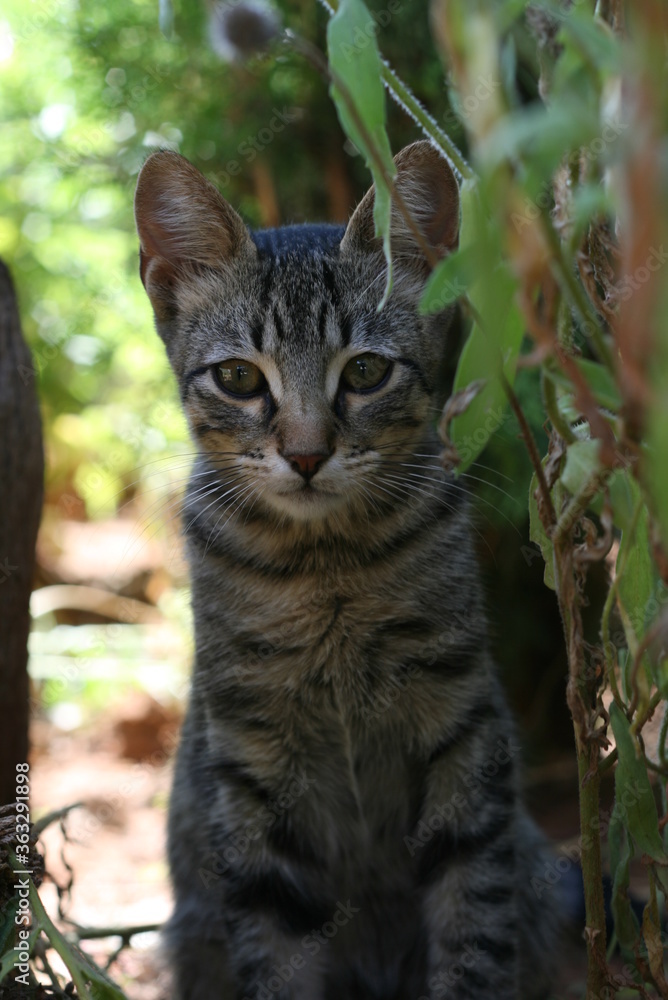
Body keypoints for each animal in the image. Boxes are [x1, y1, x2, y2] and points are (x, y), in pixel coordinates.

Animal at [133, 141, 556, 1000]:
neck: (326, 566)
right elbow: (276, 953)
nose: (304, 454)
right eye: (239, 378)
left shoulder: (462, 730)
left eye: (364, 372)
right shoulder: (250, 761)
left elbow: (474, 920)